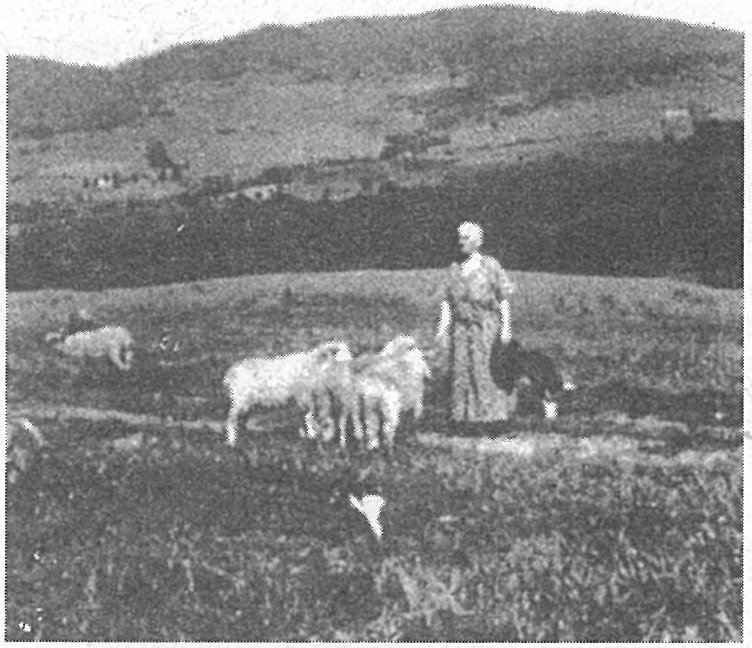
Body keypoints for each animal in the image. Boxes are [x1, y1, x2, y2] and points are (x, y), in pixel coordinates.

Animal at [223, 342, 352, 448]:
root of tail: (232, 373)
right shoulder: (304, 395)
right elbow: (310, 415)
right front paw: (313, 435)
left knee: (241, 418)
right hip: (241, 400)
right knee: (232, 419)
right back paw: (232, 442)